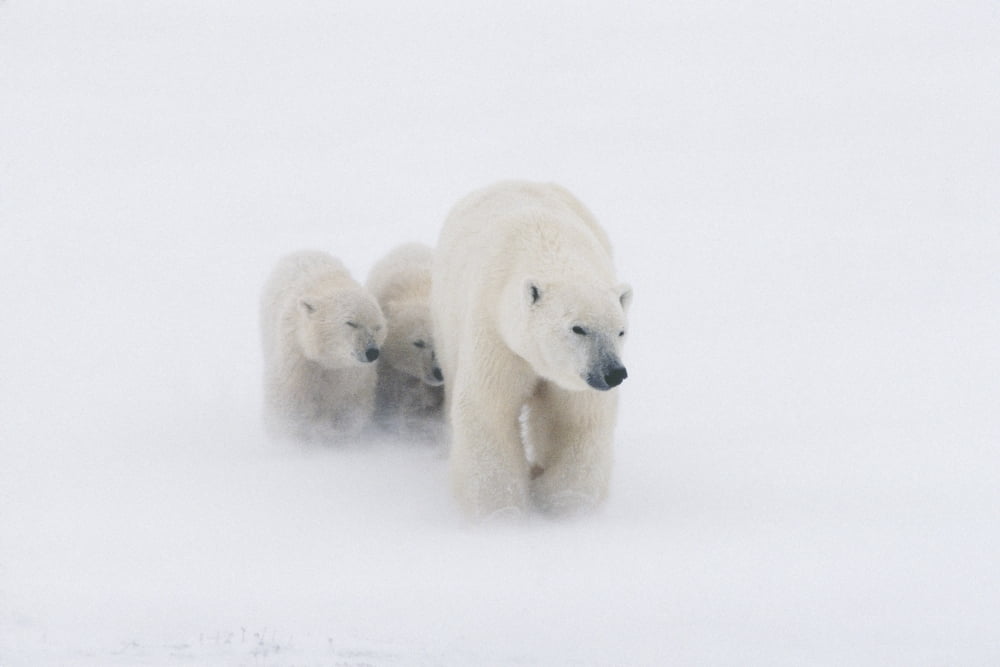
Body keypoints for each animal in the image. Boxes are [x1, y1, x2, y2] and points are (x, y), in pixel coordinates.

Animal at [260, 250, 387, 442]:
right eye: (351, 323)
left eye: (377, 326)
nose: (371, 352)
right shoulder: (298, 360)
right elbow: (290, 404)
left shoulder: (352, 374)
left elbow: (351, 406)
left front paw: (335, 432)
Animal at [430, 181, 632, 520]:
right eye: (578, 328)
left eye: (620, 331)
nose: (613, 372)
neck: (545, 245)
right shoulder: (497, 336)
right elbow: (487, 411)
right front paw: (502, 512)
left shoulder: (573, 379)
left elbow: (576, 419)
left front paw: (565, 504)